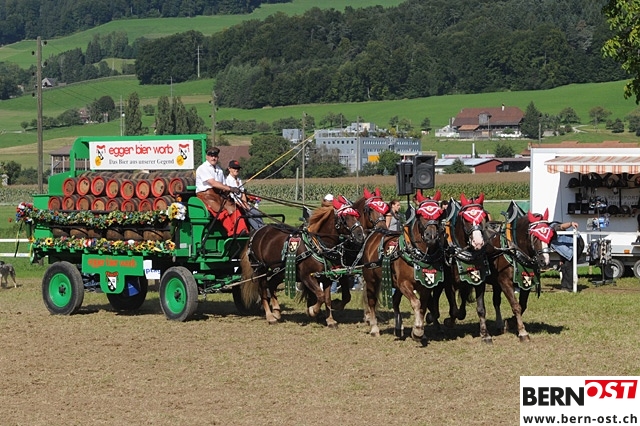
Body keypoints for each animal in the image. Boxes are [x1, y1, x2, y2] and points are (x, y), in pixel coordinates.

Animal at [240, 197, 365, 326]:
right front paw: (312, 311)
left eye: (356, 215)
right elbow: (320, 296)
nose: (361, 235)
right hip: (261, 269)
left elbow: (327, 298)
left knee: (272, 284)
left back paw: (277, 312)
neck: (315, 245)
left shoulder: (326, 277)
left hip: (280, 270)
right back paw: (270, 317)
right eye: (344, 218)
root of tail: (257, 232)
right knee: (263, 290)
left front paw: (330, 320)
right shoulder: (306, 276)